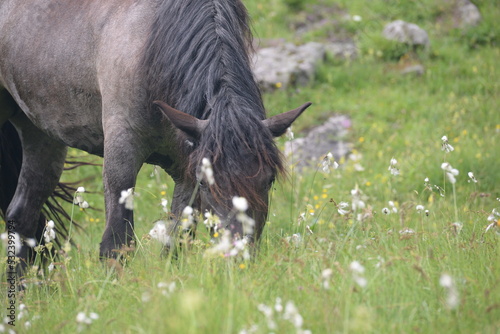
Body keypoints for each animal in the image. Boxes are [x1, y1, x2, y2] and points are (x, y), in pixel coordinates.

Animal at [0, 0, 310, 264]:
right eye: (208, 183)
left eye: (269, 180)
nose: (238, 255)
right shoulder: (122, 150)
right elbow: (116, 242)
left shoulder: (185, 167)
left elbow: (176, 242)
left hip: (41, 137)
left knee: (23, 215)